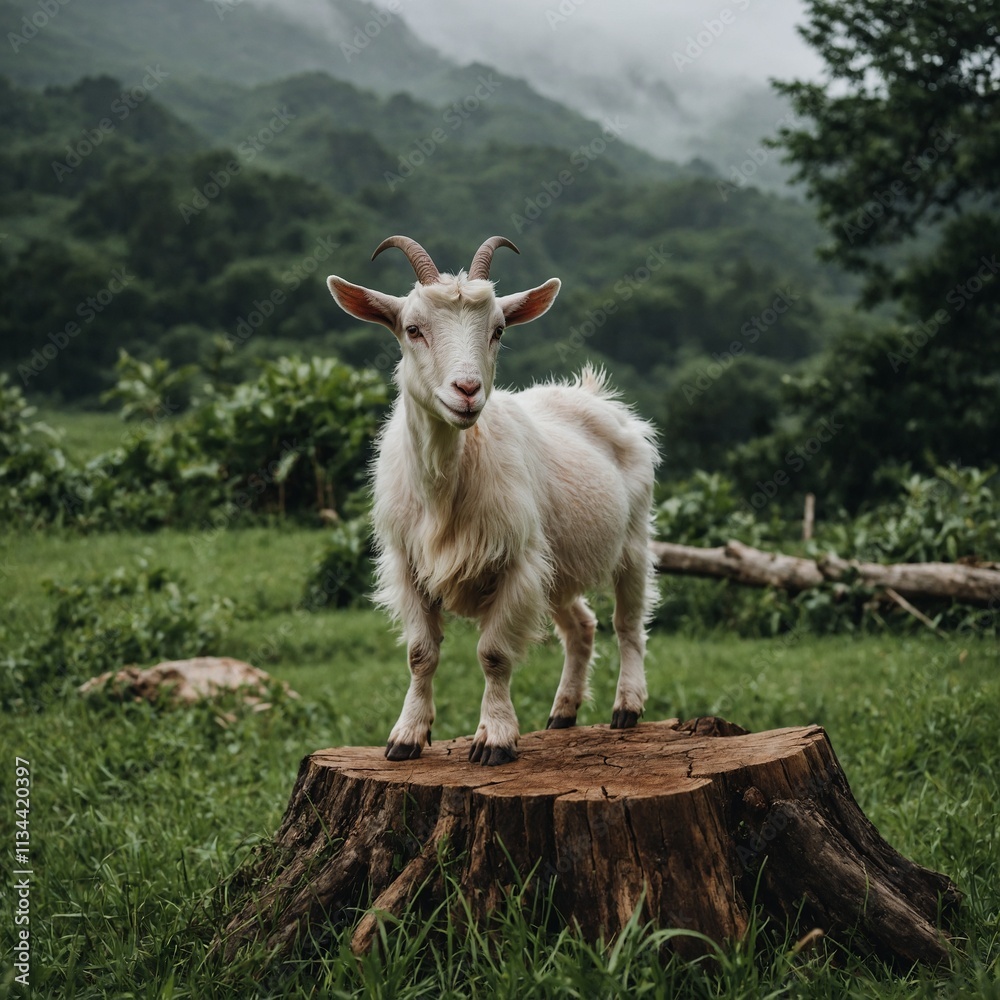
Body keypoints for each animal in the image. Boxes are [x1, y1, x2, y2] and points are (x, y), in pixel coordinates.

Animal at [327, 236, 659, 766]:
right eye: (413, 329)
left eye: (498, 330)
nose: (466, 391)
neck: (445, 488)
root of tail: (594, 395)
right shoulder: (408, 564)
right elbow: (420, 654)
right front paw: (406, 736)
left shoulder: (516, 563)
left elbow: (494, 654)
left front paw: (495, 738)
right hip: (557, 564)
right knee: (582, 626)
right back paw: (563, 712)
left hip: (632, 541)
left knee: (627, 624)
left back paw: (627, 706)